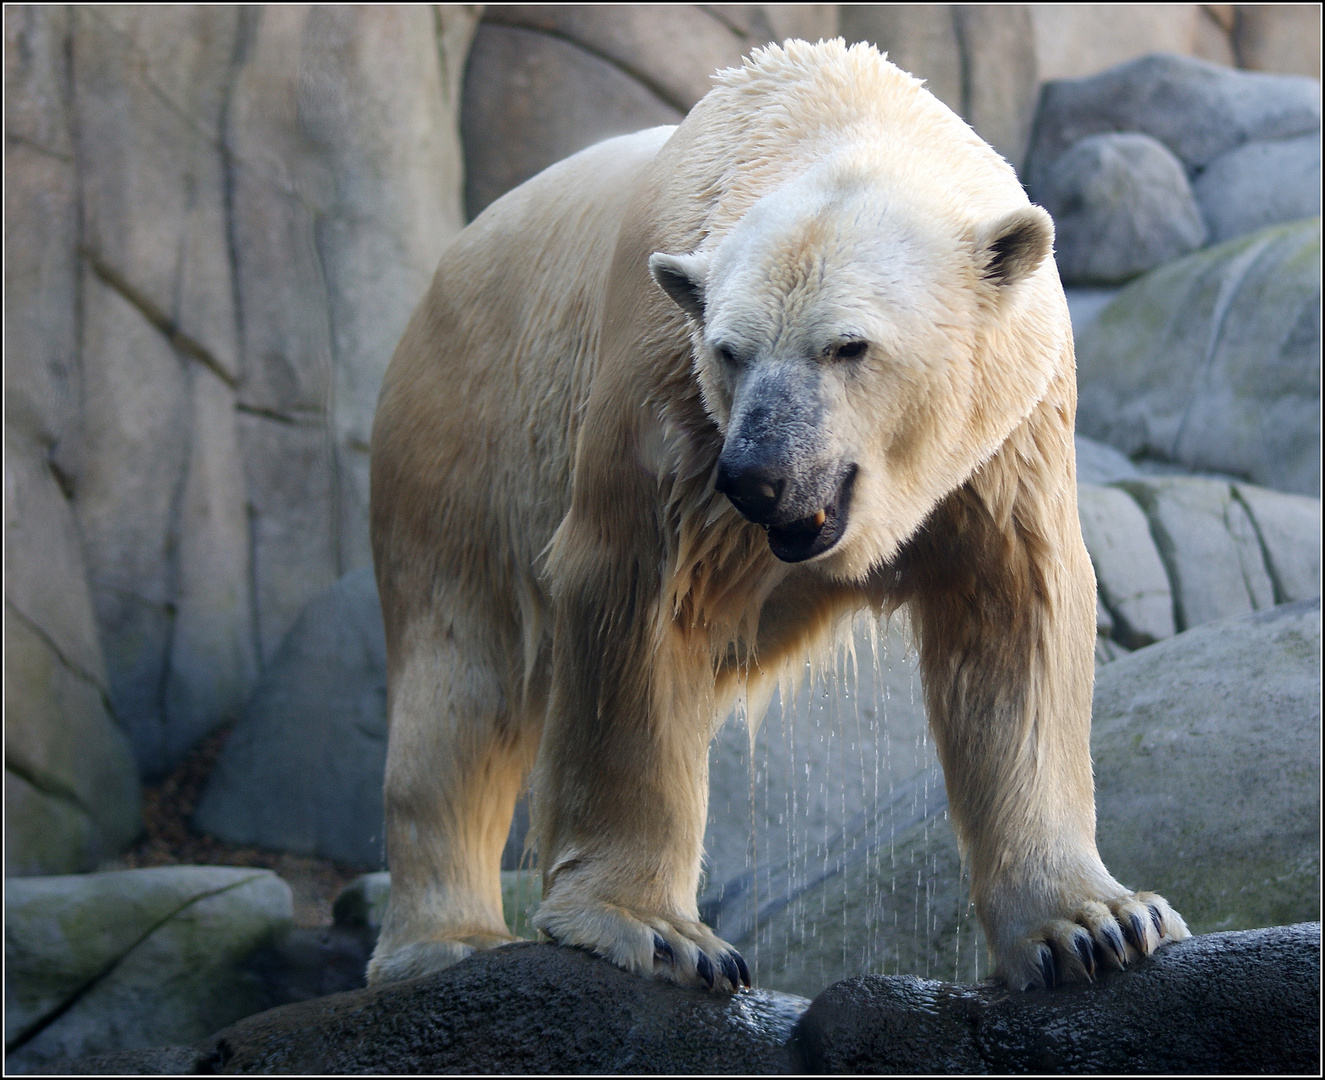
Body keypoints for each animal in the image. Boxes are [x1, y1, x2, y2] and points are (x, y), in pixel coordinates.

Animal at [365, 38, 1192, 991]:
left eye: (848, 345)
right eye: (731, 351)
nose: (755, 475)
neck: (830, 108)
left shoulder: (1005, 438)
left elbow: (1014, 617)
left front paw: (1097, 923)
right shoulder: (663, 395)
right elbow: (636, 603)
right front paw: (655, 931)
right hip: (464, 432)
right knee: (462, 675)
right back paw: (447, 941)